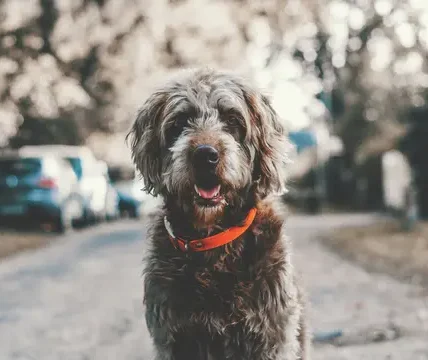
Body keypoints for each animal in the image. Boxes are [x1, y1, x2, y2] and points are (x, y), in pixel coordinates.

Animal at [128, 68, 310, 360]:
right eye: (179, 123)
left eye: (232, 120)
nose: (205, 155)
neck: (213, 242)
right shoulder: (174, 338)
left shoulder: (272, 334)